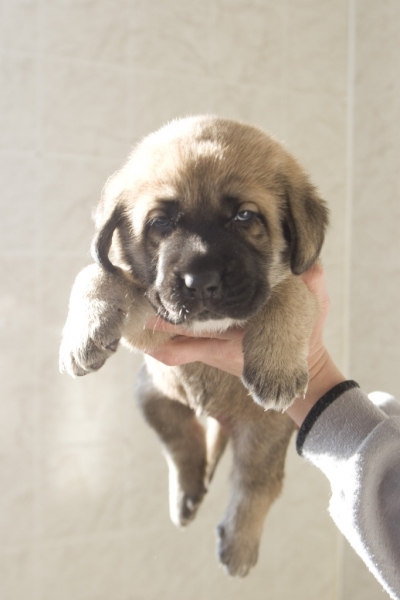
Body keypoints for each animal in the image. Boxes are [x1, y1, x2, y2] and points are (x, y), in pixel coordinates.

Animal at [59, 117, 328, 576]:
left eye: (244, 216)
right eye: (161, 223)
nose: (200, 281)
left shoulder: (299, 284)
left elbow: (288, 294)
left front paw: (276, 365)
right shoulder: (151, 317)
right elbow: (96, 272)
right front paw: (84, 330)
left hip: (264, 432)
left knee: (256, 484)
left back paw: (238, 542)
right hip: (151, 393)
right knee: (181, 441)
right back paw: (186, 496)